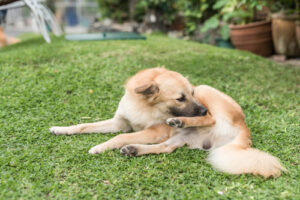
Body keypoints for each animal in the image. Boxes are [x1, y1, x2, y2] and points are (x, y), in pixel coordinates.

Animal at [49, 68, 209, 154]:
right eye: (180, 99)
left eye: (193, 93)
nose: (204, 111)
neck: (144, 107)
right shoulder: (120, 123)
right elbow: (84, 126)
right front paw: (61, 129)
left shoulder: (155, 132)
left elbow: (121, 137)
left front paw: (100, 147)